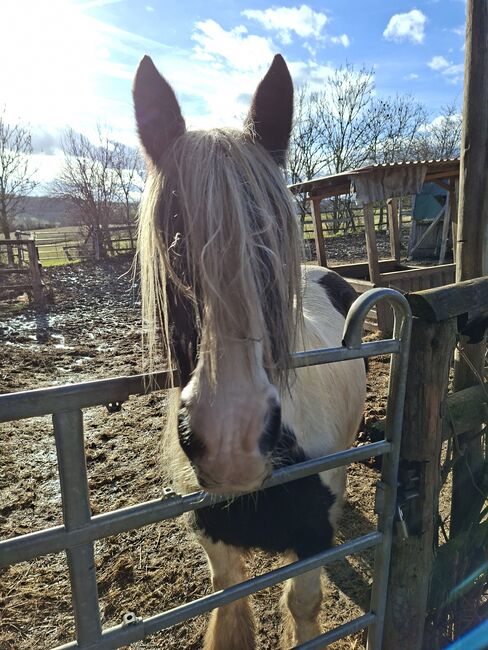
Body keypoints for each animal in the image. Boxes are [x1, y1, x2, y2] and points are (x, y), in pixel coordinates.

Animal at [134, 54, 367, 649]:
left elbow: (303, 606)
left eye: (269, 236)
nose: (230, 441)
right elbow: (232, 613)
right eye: (173, 240)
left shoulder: (312, 540)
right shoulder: (216, 541)